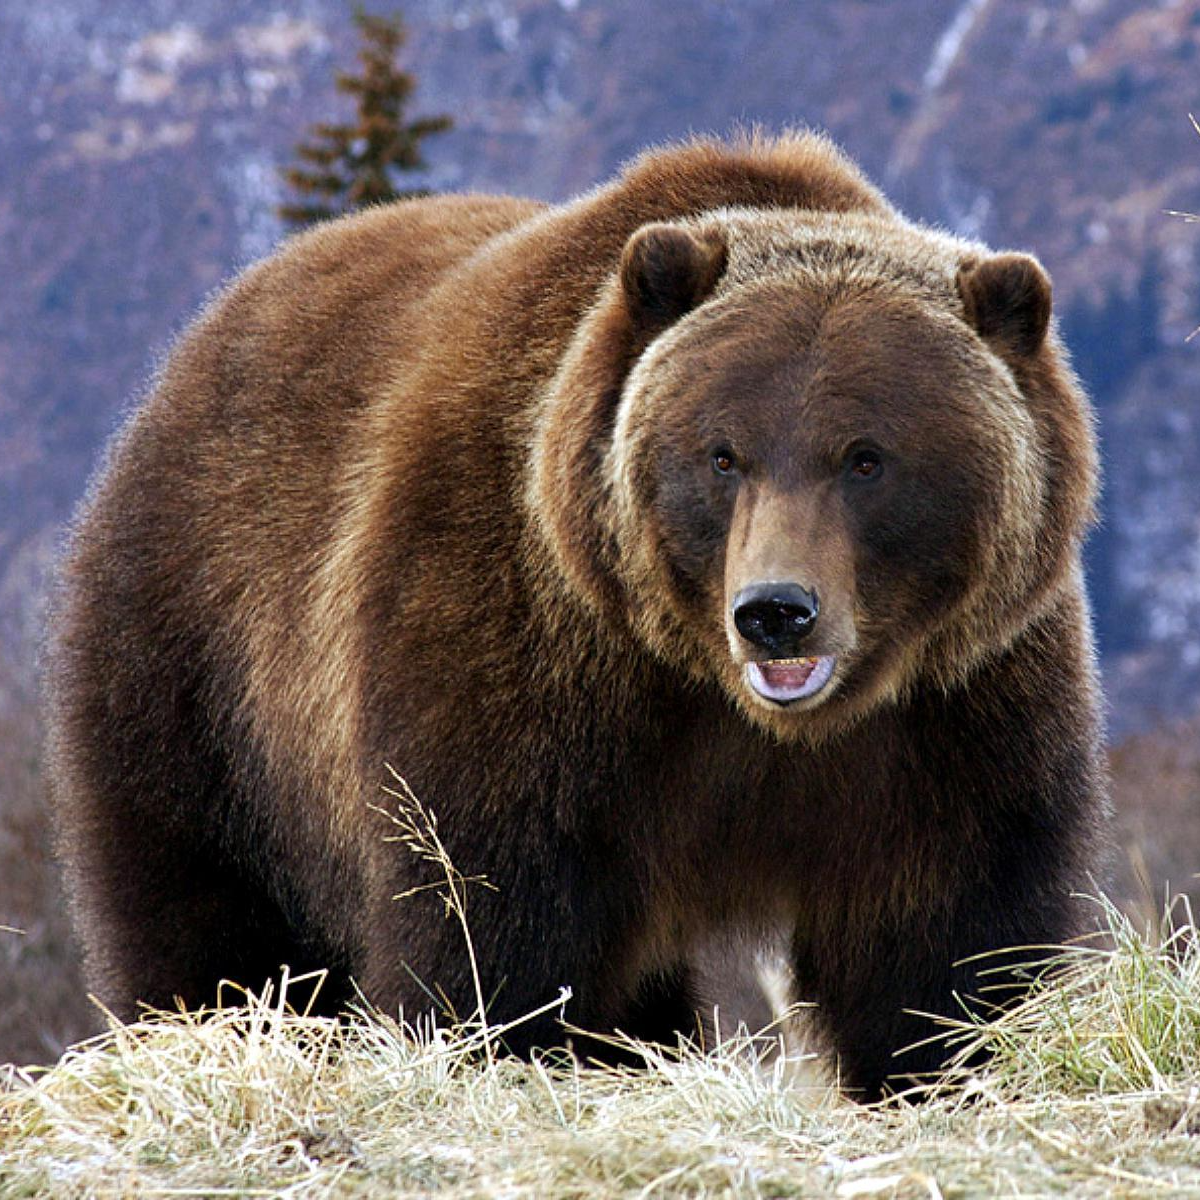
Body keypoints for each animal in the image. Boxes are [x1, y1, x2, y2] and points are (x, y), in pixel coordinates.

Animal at [51, 129, 1108, 1099]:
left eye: (866, 456)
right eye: (723, 453)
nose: (776, 613)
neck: (741, 713)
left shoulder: (952, 715)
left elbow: (948, 945)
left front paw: (947, 1065)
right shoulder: (524, 665)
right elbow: (491, 930)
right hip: (201, 667)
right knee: (207, 919)